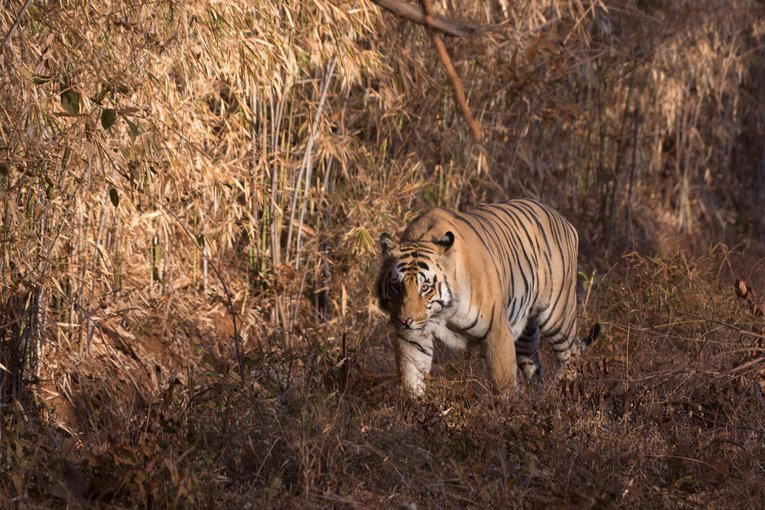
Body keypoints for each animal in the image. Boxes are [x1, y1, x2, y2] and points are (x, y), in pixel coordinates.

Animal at [376, 198, 600, 396]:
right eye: (396, 286)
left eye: (425, 287)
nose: (405, 321)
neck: (442, 313)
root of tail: (564, 220)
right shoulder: (412, 336)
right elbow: (410, 376)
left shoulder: (497, 331)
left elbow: (504, 384)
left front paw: (507, 412)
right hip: (526, 333)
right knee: (534, 365)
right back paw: (538, 399)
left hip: (558, 316)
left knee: (571, 355)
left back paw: (565, 392)